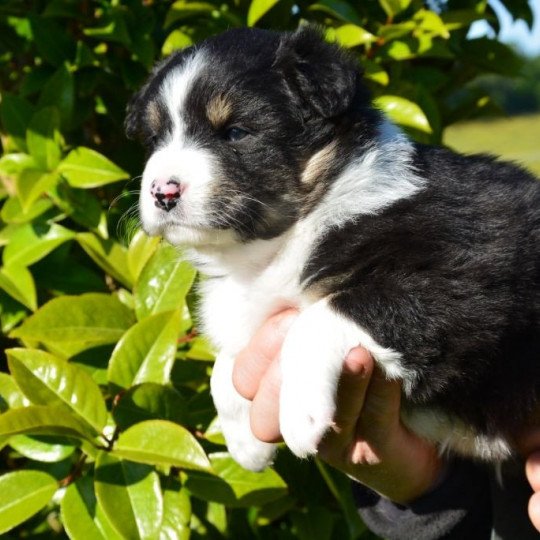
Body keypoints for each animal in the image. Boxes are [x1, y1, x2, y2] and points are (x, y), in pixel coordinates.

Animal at [127, 26, 540, 472]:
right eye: (155, 138)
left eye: (236, 132)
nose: (162, 192)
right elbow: (226, 364)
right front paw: (243, 440)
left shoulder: (466, 280)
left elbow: (322, 316)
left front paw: (300, 414)